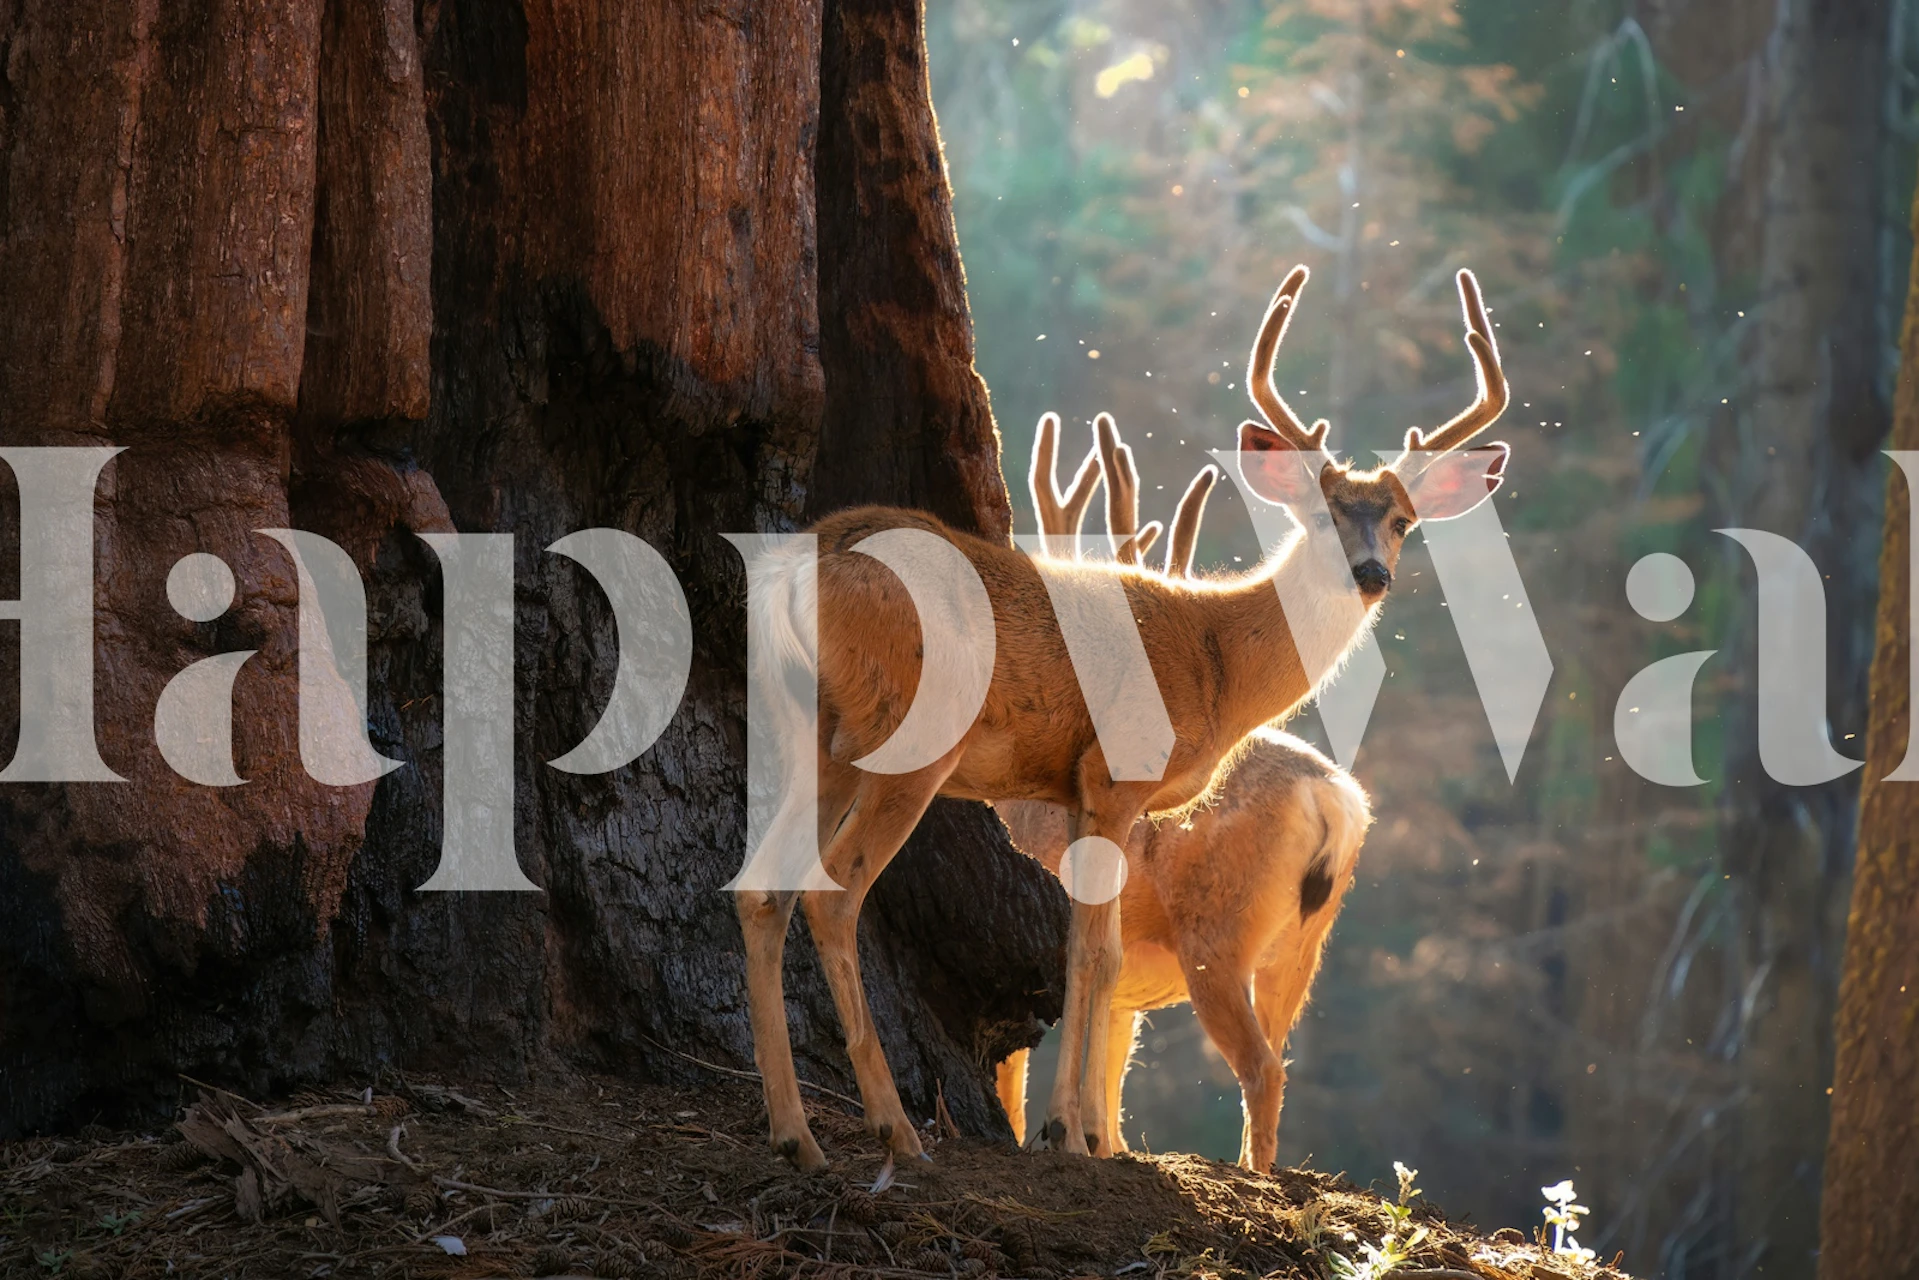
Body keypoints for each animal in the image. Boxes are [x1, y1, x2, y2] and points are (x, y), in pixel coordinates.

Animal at [992, 413, 1373, 1172]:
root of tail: (1335, 800)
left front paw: (1058, 1135)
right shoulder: (1125, 998)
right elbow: (1108, 1082)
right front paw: (1094, 1141)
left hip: (1217, 935)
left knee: (1260, 1066)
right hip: (1301, 948)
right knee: (1279, 1054)